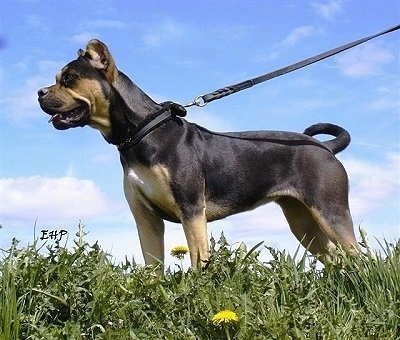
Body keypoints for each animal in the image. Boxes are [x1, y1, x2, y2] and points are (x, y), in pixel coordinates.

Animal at [37, 39, 358, 268]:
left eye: (69, 78)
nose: (39, 92)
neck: (143, 131)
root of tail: (325, 148)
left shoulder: (191, 211)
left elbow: (197, 260)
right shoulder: (145, 218)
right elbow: (152, 268)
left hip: (330, 210)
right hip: (302, 221)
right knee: (335, 259)